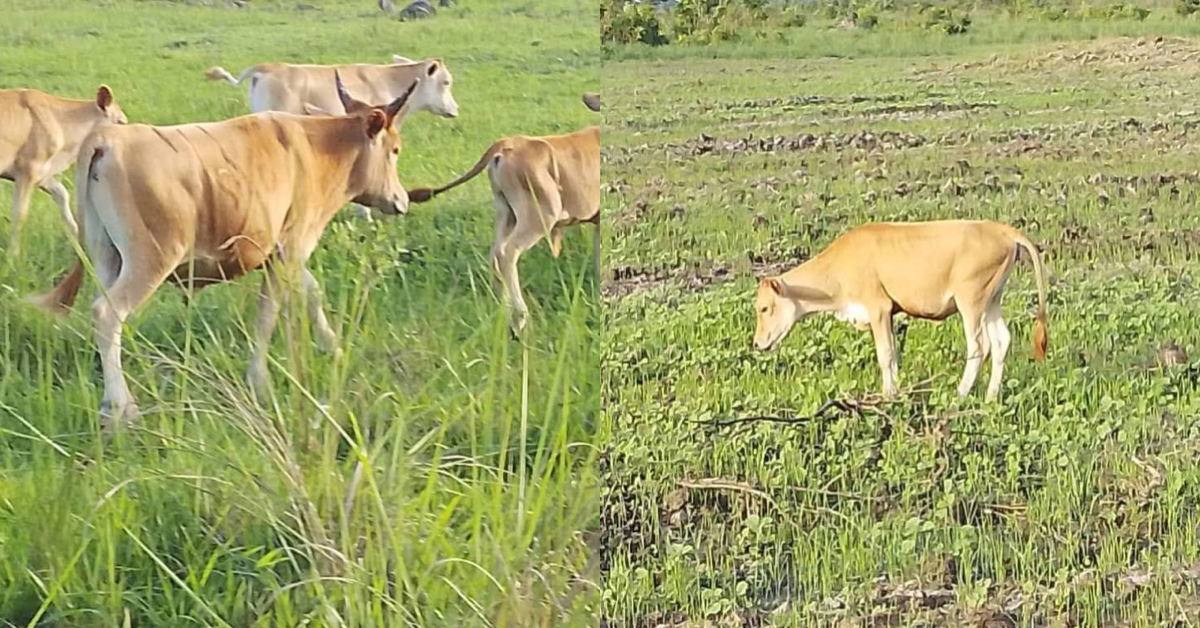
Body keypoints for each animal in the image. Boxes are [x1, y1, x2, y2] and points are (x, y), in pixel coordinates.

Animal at [0, 85, 128, 259]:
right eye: (120, 122)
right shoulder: (28, 170)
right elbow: (19, 213)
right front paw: (12, 256)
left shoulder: (43, 173)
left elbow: (62, 194)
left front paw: (79, 244)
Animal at [27, 76, 418, 430]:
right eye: (396, 149)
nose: (401, 200)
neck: (319, 146)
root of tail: (106, 140)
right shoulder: (291, 248)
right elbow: (267, 315)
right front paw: (259, 381)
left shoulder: (282, 253)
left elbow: (311, 292)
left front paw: (332, 347)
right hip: (151, 259)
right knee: (107, 314)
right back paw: (121, 409)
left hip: (107, 256)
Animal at [407, 125, 600, 335]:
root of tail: (507, 143)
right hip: (539, 216)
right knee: (508, 253)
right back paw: (520, 317)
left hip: (506, 214)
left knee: (495, 255)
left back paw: (504, 311)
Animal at [753, 220, 1048, 402]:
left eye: (764, 308)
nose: (757, 343)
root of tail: (1000, 229)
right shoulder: (889, 314)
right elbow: (894, 354)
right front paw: (895, 393)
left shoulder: (878, 308)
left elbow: (885, 355)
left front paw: (886, 395)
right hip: (992, 300)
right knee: (1001, 341)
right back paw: (990, 396)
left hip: (971, 300)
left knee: (978, 346)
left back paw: (961, 394)